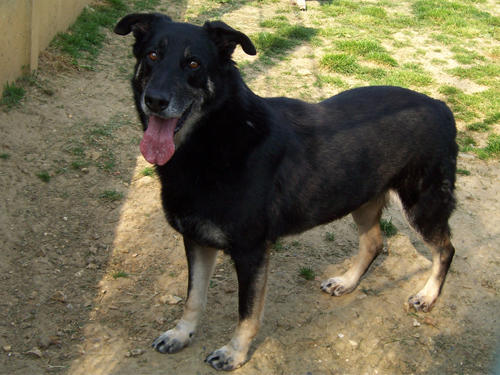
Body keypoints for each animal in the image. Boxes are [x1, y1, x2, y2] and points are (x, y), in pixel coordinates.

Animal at [114, 13, 458, 372]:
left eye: (193, 63)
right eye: (152, 55)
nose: (155, 100)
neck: (216, 137)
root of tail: (440, 105)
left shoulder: (251, 252)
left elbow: (247, 313)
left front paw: (234, 353)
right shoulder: (196, 239)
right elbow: (194, 297)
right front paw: (182, 334)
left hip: (422, 205)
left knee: (446, 250)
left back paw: (428, 295)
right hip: (362, 198)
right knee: (375, 243)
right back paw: (347, 282)